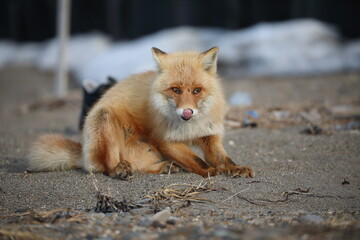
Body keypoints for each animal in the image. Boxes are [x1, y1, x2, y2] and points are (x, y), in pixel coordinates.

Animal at [28, 47, 253, 178]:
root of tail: (84, 153)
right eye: (176, 90)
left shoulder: (209, 136)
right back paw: (118, 170)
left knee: (140, 166)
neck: (189, 127)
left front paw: (236, 168)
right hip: (104, 121)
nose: (187, 112)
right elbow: (197, 160)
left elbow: (224, 159)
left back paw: (164, 167)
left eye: (197, 90)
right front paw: (209, 170)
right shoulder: (166, 141)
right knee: (107, 166)